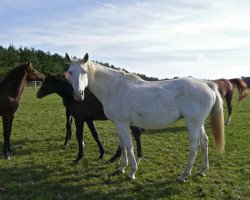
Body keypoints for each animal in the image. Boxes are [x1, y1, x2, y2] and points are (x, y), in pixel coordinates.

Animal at [64, 53, 225, 183]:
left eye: (84, 71)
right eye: (70, 72)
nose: (78, 95)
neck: (114, 87)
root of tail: (207, 84)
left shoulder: (123, 123)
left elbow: (129, 146)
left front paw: (132, 172)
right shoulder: (118, 123)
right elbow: (123, 145)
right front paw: (121, 168)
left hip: (192, 123)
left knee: (194, 147)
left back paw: (183, 175)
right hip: (199, 124)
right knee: (204, 143)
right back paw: (202, 170)